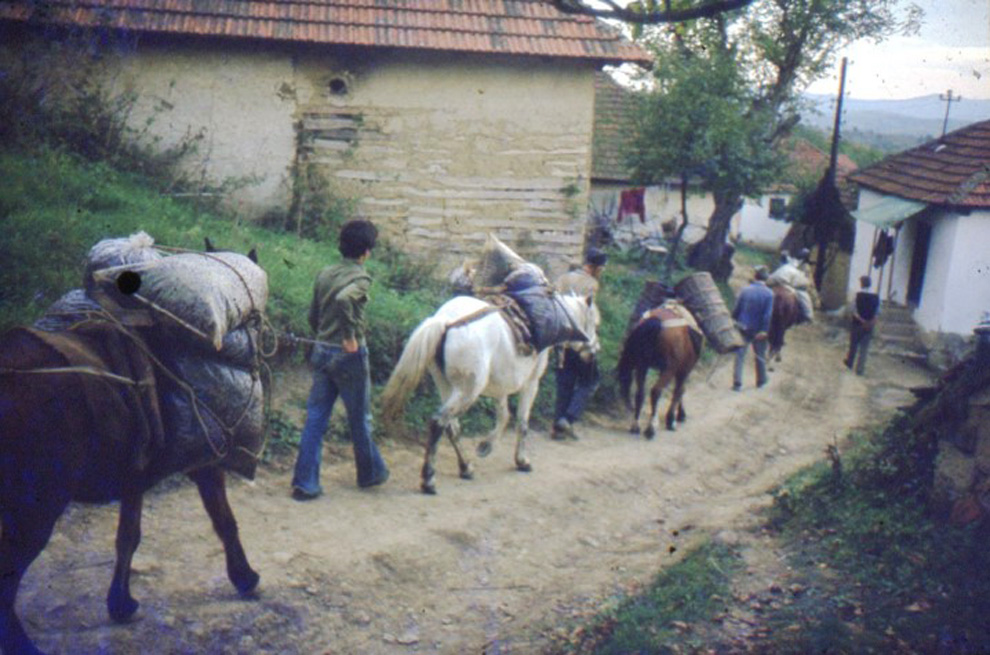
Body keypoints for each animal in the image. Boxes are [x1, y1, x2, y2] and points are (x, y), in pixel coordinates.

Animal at [380, 292, 596, 492]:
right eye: (594, 322)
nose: (593, 352)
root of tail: (446, 321)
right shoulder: (531, 384)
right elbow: (521, 422)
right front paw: (521, 461)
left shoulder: (500, 388)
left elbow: (503, 416)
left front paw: (486, 446)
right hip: (468, 390)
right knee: (438, 422)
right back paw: (429, 480)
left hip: (446, 385)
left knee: (451, 426)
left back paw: (465, 468)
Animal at [620, 312, 704, 440]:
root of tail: (655, 322)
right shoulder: (684, 370)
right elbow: (680, 391)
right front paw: (673, 419)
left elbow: (680, 390)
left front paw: (679, 415)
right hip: (669, 368)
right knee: (656, 390)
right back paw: (651, 428)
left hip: (642, 365)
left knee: (640, 393)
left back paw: (636, 426)